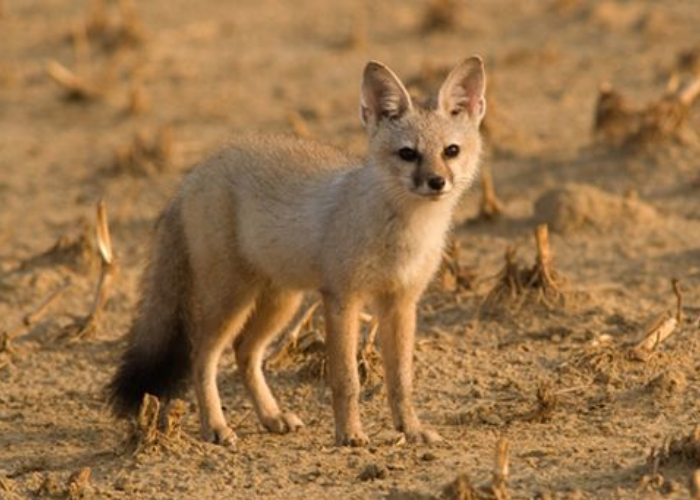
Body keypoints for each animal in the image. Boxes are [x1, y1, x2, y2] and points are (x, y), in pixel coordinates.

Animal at [108, 56, 487, 447]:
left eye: (451, 151)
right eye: (408, 154)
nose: (437, 182)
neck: (405, 233)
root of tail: (194, 174)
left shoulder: (401, 303)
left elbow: (401, 382)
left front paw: (410, 430)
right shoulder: (342, 299)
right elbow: (346, 380)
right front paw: (350, 434)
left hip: (280, 303)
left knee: (244, 352)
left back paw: (271, 417)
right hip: (232, 301)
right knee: (202, 358)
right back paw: (215, 426)